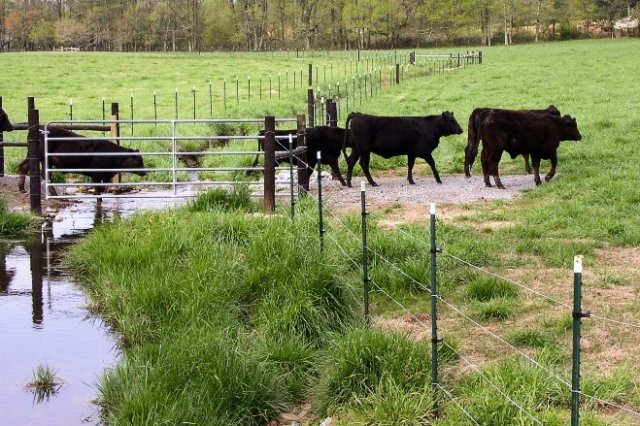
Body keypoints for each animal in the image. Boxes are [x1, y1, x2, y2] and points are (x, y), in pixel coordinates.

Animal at [16, 126, 148, 196]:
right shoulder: (96, 175)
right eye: (138, 161)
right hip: (40, 156)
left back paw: (23, 189)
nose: (144, 172)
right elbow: (98, 192)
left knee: (27, 168)